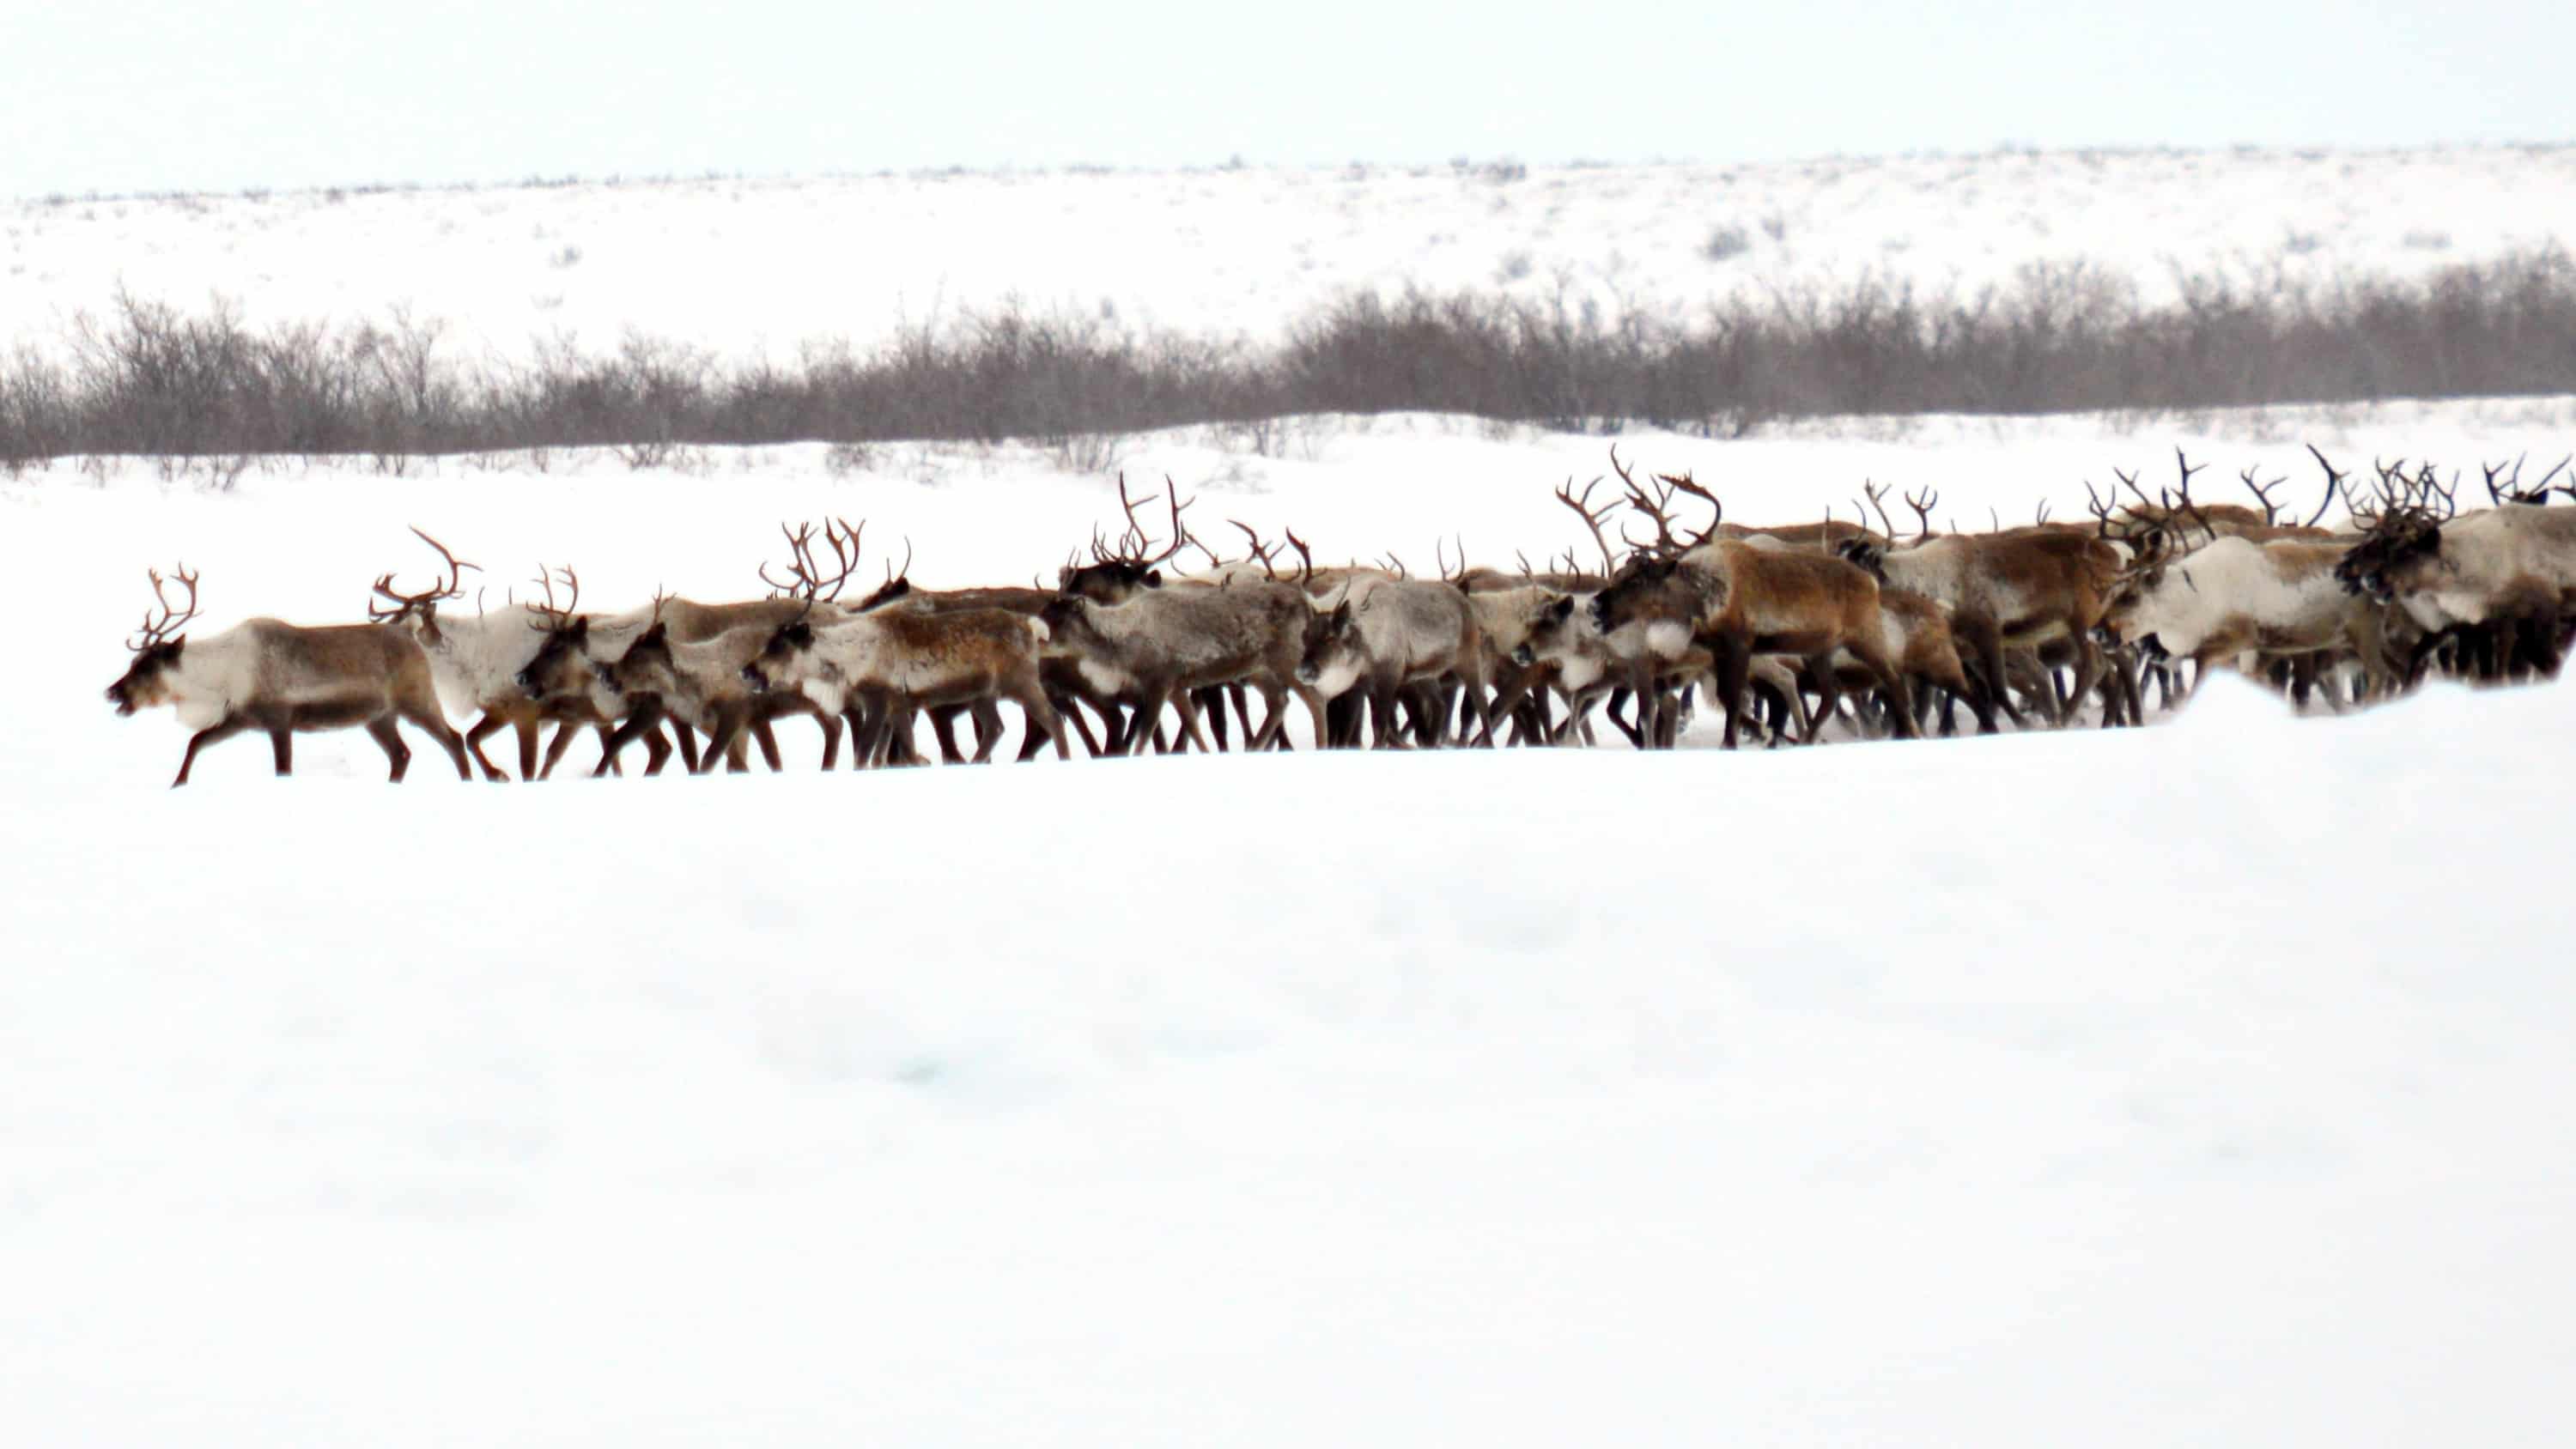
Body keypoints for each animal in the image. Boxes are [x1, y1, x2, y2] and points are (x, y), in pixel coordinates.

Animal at [105, 564, 473, 787]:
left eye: (146, 667)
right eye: (134, 661)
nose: (112, 692)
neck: (220, 675)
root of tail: (409, 633)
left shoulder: (280, 721)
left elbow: (283, 769)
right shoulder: (239, 718)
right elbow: (195, 743)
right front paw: (176, 785)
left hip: (417, 701)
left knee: (454, 739)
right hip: (379, 717)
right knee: (402, 754)